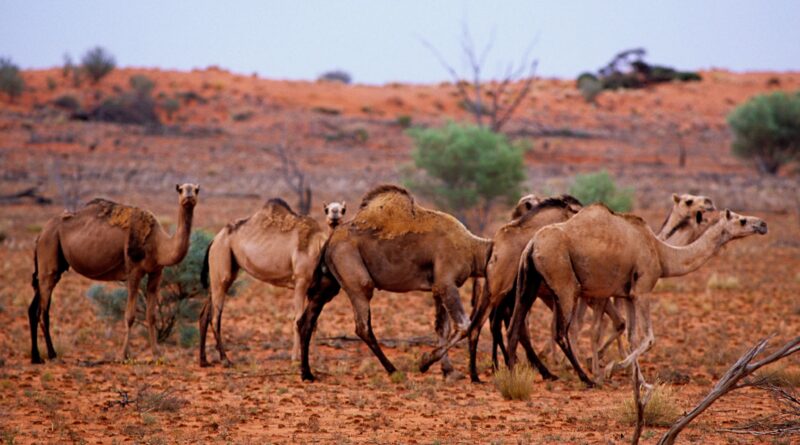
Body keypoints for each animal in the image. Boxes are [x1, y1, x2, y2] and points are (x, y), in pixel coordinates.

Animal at [29, 183, 200, 363]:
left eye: (196, 189)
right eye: (180, 189)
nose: (189, 196)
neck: (159, 244)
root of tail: (40, 234)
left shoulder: (156, 272)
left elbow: (151, 316)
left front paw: (157, 354)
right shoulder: (134, 270)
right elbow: (130, 316)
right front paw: (123, 355)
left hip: (51, 261)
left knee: (34, 307)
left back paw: (36, 357)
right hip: (49, 249)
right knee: (44, 311)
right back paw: (52, 355)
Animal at [198, 198, 330, 366]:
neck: (318, 246)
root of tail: (214, 240)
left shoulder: (312, 288)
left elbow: (313, 323)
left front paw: (317, 358)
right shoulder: (301, 282)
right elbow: (298, 320)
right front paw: (296, 358)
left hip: (218, 273)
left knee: (205, 314)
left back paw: (203, 360)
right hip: (221, 264)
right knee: (215, 317)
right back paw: (225, 359)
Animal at [297, 185, 494, 382]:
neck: (472, 249)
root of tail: (330, 240)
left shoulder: (438, 287)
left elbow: (442, 328)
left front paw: (449, 371)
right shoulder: (446, 283)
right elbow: (464, 325)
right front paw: (424, 362)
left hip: (328, 282)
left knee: (306, 321)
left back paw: (307, 373)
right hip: (356, 278)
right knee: (363, 326)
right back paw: (393, 369)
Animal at [507, 205, 767, 386]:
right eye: (742, 219)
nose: (763, 224)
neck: (661, 253)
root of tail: (532, 244)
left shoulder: (629, 295)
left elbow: (633, 337)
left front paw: (639, 381)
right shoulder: (642, 290)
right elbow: (649, 338)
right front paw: (611, 369)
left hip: (528, 283)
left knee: (515, 325)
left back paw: (512, 370)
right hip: (564, 282)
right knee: (561, 332)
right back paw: (586, 378)